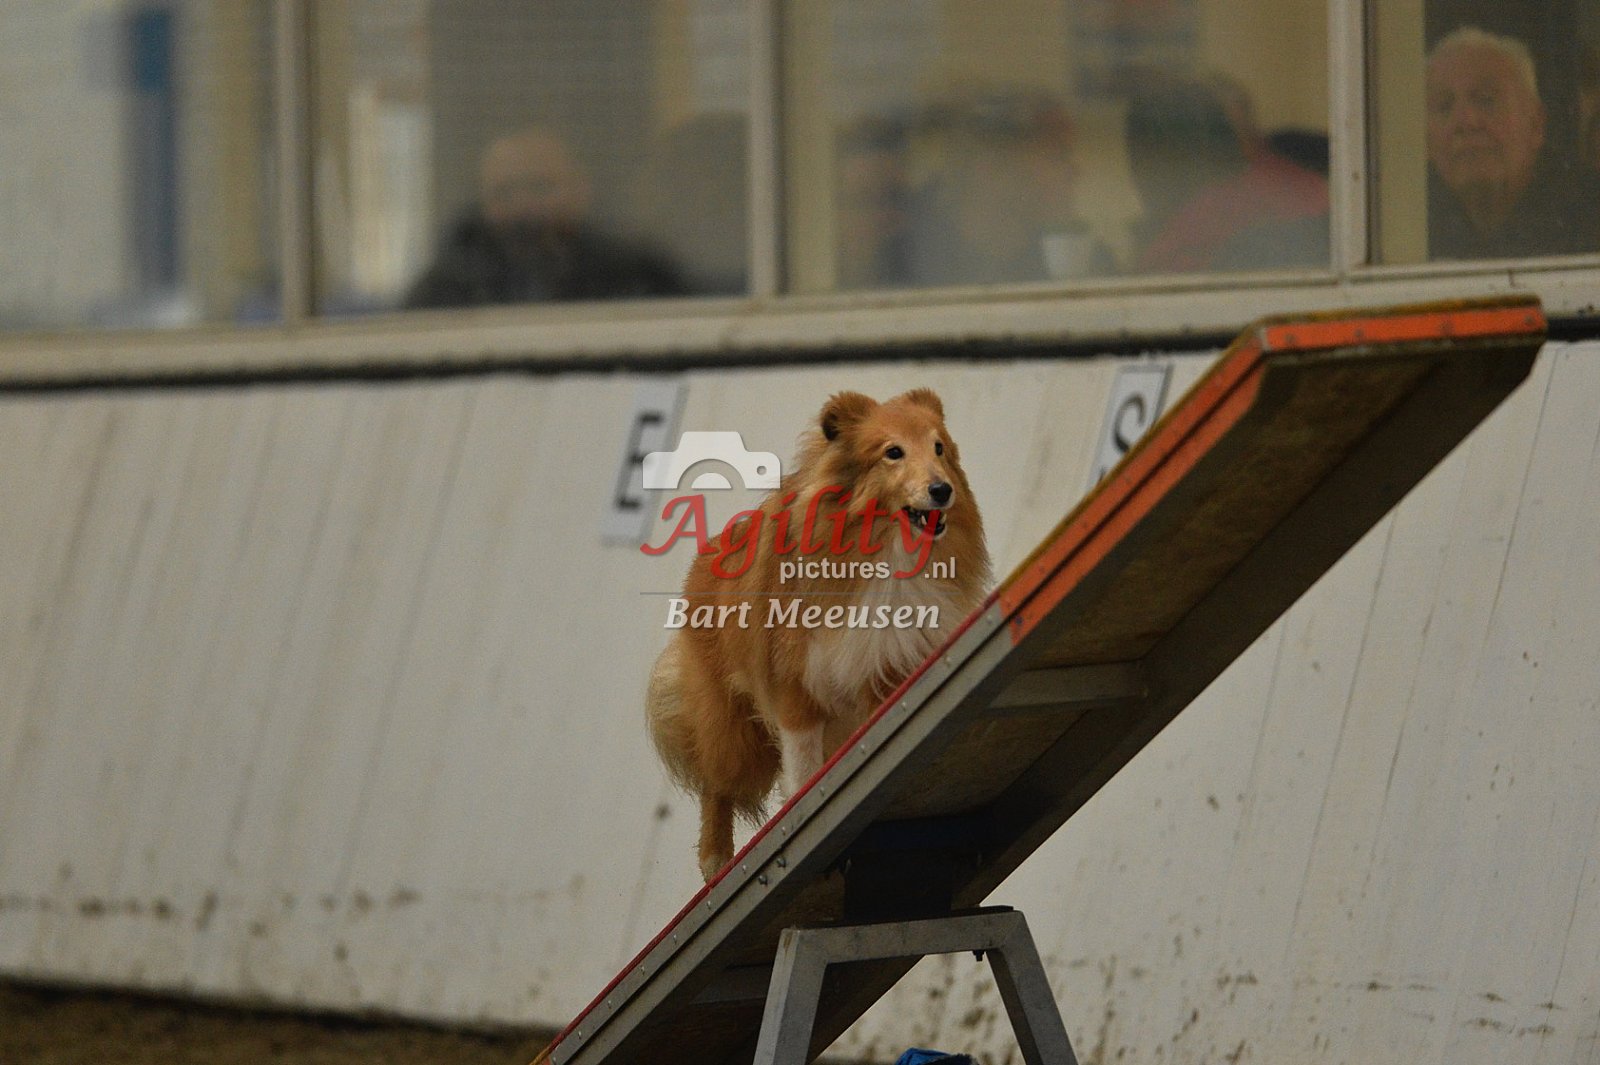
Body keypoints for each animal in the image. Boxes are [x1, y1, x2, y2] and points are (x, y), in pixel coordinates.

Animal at [646, 388, 990, 880]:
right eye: (893, 452)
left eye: (939, 447)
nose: (943, 491)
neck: (885, 550)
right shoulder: (794, 694)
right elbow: (804, 772)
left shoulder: (883, 671)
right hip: (731, 725)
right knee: (717, 784)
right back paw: (716, 864)